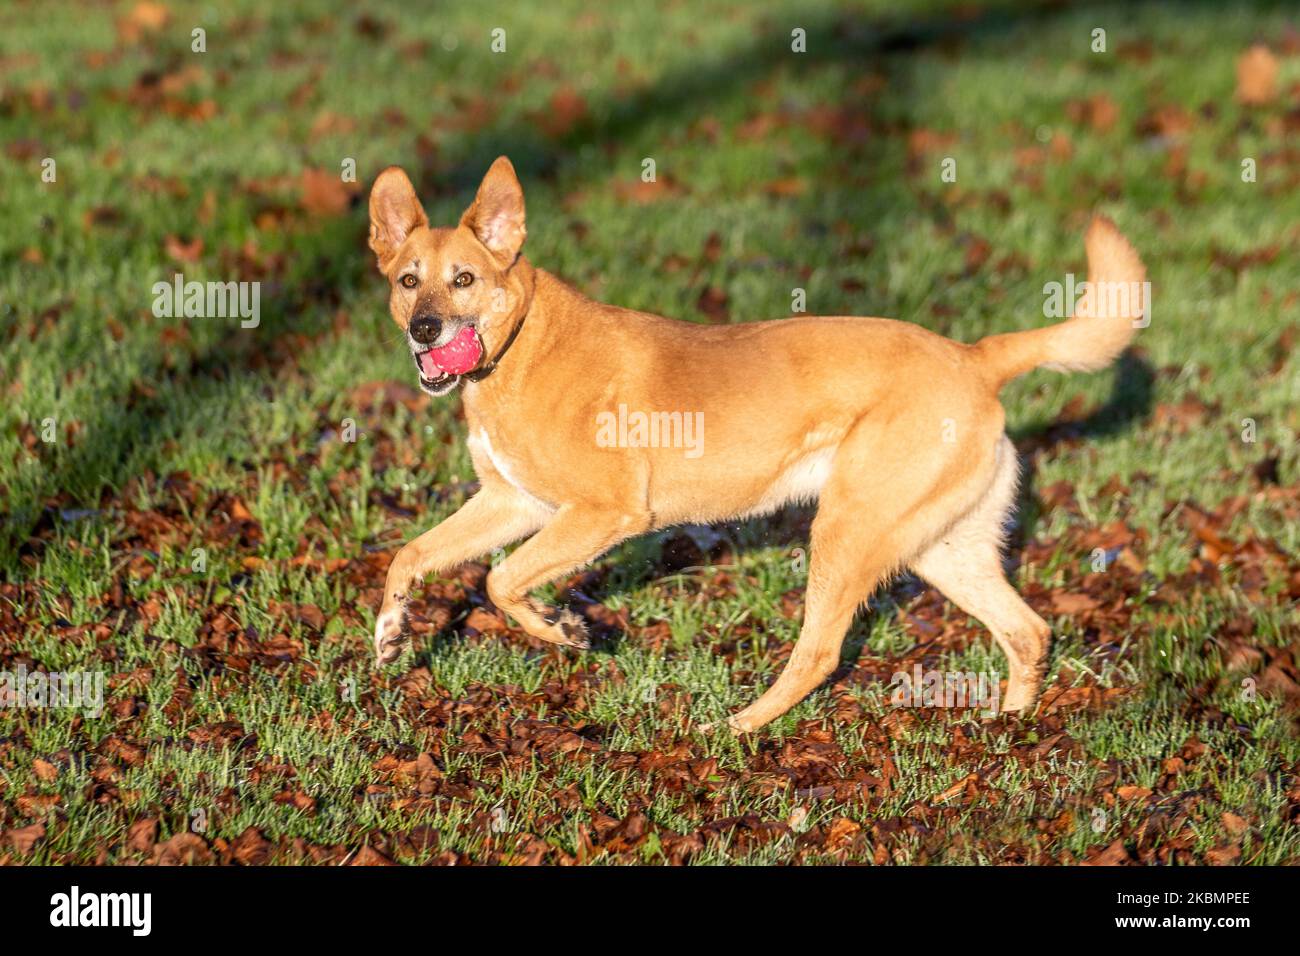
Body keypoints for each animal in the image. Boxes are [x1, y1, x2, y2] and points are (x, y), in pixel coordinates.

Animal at [366, 157, 1149, 733]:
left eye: (464, 279)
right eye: (408, 281)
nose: (426, 330)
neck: (521, 343)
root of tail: (974, 357)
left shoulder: (603, 515)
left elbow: (502, 582)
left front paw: (565, 631)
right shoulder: (513, 504)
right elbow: (412, 556)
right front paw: (392, 633)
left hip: (845, 533)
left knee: (822, 653)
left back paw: (738, 726)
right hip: (940, 547)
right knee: (1028, 630)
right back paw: (1007, 728)